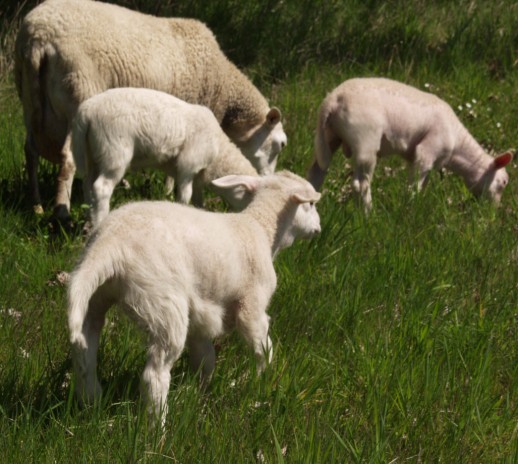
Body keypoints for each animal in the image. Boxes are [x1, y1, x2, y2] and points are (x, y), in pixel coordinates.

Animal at [67, 170, 322, 428]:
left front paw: (200, 392)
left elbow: (205, 357)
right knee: (154, 375)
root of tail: (109, 242)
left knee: (85, 349)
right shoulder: (252, 306)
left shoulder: (201, 314)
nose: (319, 227)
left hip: (97, 295)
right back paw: (157, 429)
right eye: (310, 204)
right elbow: (263, 349)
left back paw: (91, 401)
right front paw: (263, 382)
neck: (261, 226)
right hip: (163, 302)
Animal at [71, 87, 262, 228]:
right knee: (101, 188)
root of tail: (86, 112)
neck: (218, 153)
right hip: (114, 151)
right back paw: (100, 222)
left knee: (87, 185)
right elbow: (185, 195)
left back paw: (90, 218)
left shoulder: (196, 173)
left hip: (91, 153)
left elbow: (198, 199)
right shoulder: (189, 164)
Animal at [308, 77, 516, 212]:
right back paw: (368, 215)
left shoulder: (419, 159)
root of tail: (333, 99)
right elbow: (414, 187)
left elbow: (421, 184)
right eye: (504, 182)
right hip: (365, 140)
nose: (493, 211)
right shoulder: (427, 150)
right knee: (361, 185)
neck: (458, 146)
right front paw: (410, 210)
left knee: (316, 172)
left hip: (328, 137)